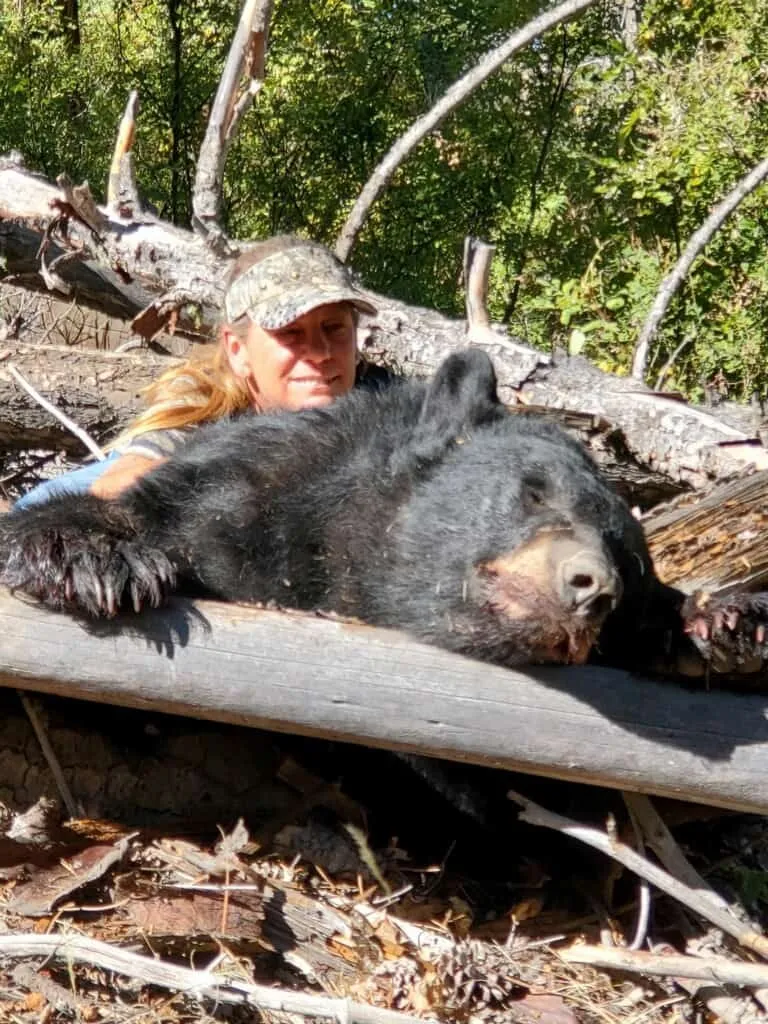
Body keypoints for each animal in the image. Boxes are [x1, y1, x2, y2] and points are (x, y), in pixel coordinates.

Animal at [0, 349, 765, 676]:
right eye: (534, 491)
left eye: (629, 561)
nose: (590, 586)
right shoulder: (236, 499)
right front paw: (93, 557)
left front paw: (723, 621)